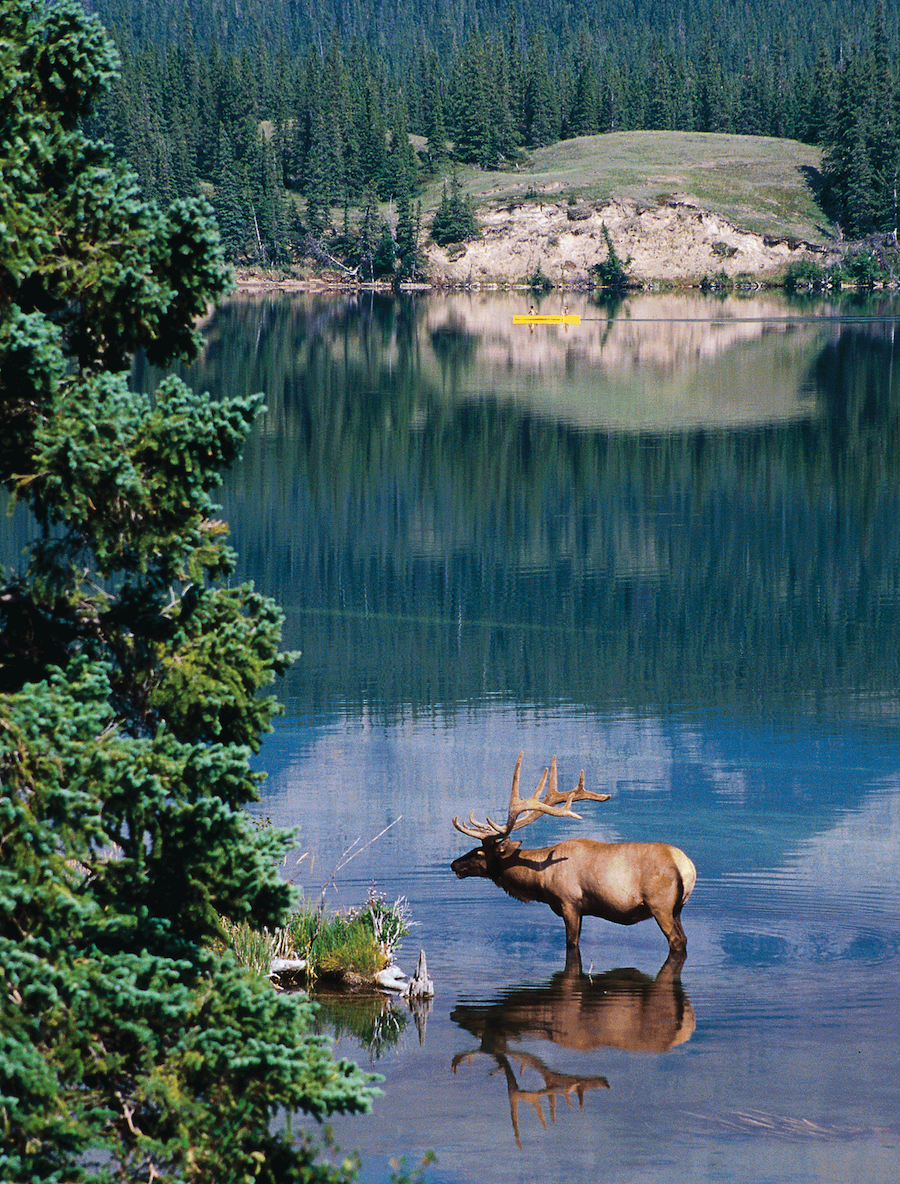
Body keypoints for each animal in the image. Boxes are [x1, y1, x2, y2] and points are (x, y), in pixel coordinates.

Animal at [450, 753, 696, 956]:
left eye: (479, 852)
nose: (454, 864)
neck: (539, 880)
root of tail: (687, 867)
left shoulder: (569, 902)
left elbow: (571, 943)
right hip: (677, 908)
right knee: (684, 939)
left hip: (660, 904)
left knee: (676, 940)